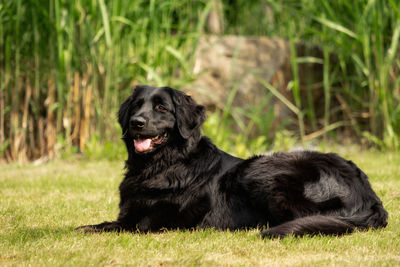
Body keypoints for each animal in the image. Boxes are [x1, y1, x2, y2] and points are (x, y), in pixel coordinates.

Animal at [76, 86, 388, 239]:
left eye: (162, 108)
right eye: (136, 106)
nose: (136, 122)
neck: (164, 165)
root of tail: (369, 197)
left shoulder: (153, 221)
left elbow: (110, 227)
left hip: (263, 170)